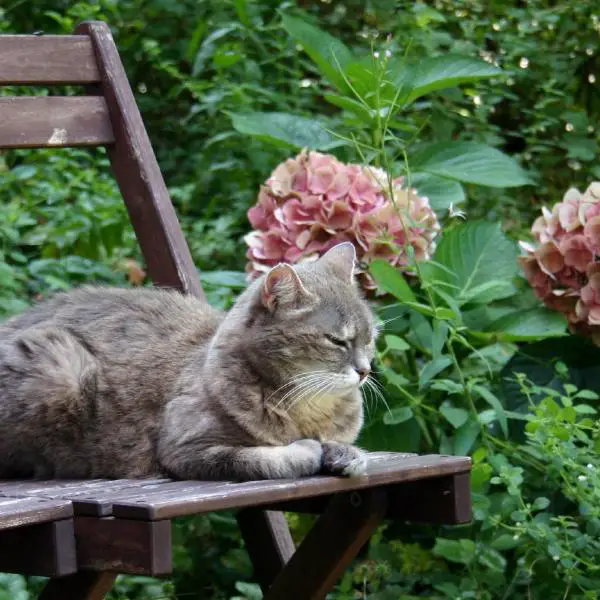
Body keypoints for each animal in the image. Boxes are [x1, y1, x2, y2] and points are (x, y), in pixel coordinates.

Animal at [0, 241, 378, 480]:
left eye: (369, 339)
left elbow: (345, 446)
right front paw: (308, 450)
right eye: (337, 340)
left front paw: (344, 453)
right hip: (61, 368)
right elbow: (263, 459)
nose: (364, 370)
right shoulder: (187, 449)